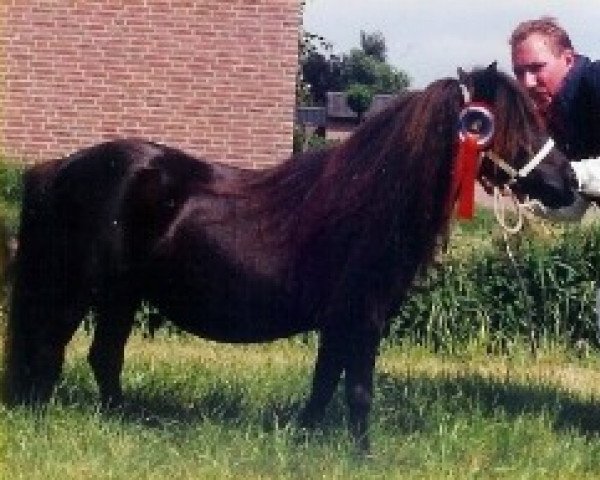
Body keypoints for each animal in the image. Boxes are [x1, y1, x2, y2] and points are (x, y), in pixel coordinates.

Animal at [1, 62, 572, 450]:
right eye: (515, 122)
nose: (566, 181)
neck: (372, 201)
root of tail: (62, 167)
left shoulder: (341, 320)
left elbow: (324, 384)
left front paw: (304, 441)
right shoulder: (362, 318)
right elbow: (357, 390)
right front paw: (363, 456)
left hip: (121, 295)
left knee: (104, 357)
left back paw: (129, 421)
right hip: (79, 290)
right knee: (51, 352)